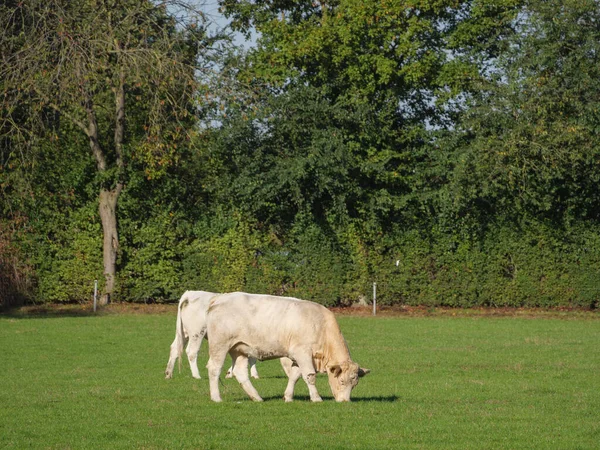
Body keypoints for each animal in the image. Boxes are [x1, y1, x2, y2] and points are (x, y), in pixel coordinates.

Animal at [204, 294, 368, 402]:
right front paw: (316, 398)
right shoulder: (303, 353)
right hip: (220, 345)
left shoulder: (297, 357)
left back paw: (256, 397)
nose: (345, 401)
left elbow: (294, 376)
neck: (321, 326)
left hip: (239, 349)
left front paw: (288, 397)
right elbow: (309, 376)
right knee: (214, 368)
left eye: (355, 384)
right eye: (342, 381)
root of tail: (219, 298)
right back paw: (216, 397)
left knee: (240, 372)